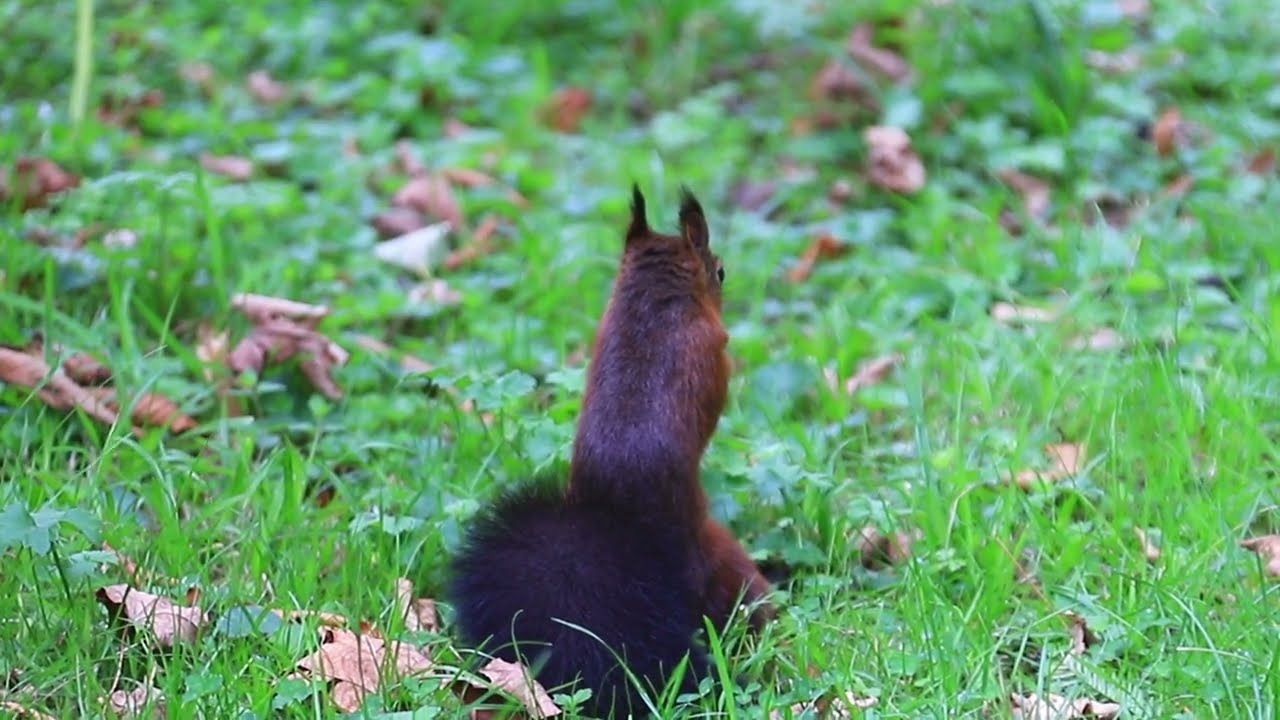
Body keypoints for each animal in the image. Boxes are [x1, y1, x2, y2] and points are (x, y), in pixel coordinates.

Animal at [449, 186, 774, 718]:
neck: (650, 302)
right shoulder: (711, 348)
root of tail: (621, 519)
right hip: (718, 557)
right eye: (720, 271)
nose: (725, 283)